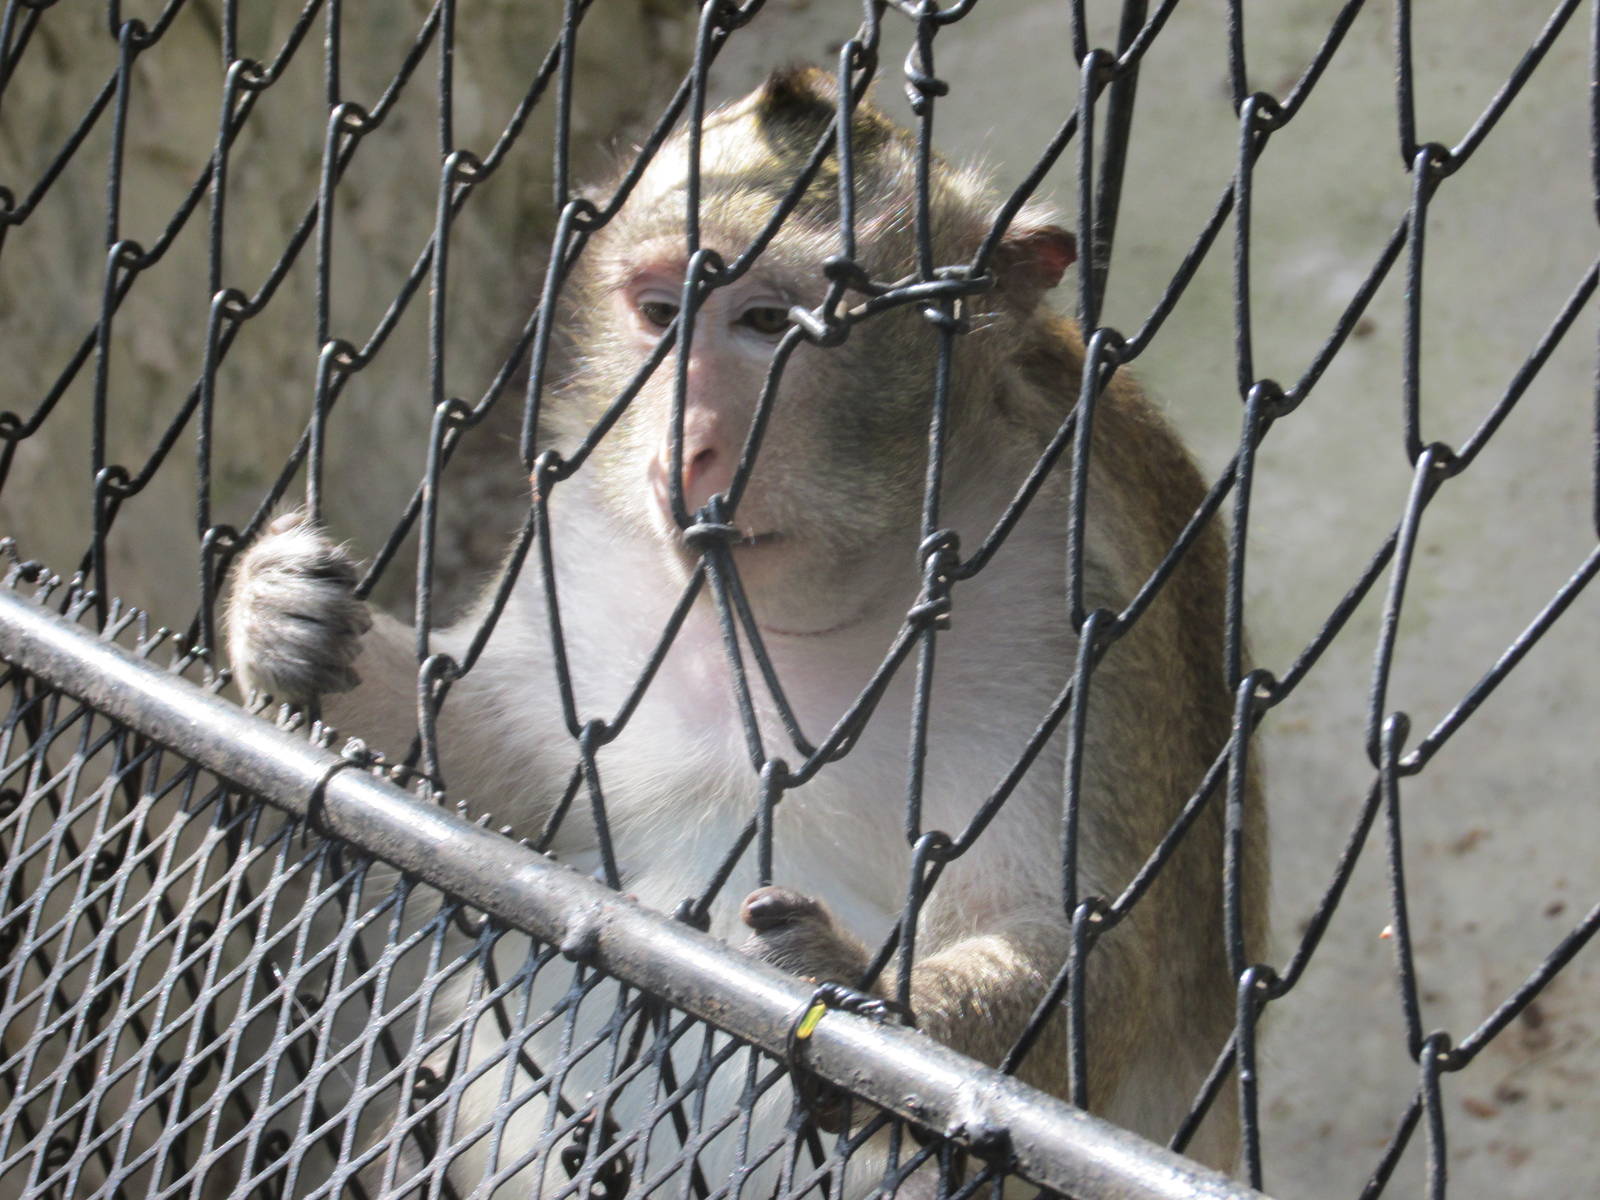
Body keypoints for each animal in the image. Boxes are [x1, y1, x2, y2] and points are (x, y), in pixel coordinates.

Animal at [227, 67, 1266, 1192]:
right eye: (657, 311)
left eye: (769, 321)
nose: (685, 445)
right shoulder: (586, 531)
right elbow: (494, 785)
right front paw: (272, 614)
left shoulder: (1083, 599)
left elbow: (1087, 956)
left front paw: (870, 1002)